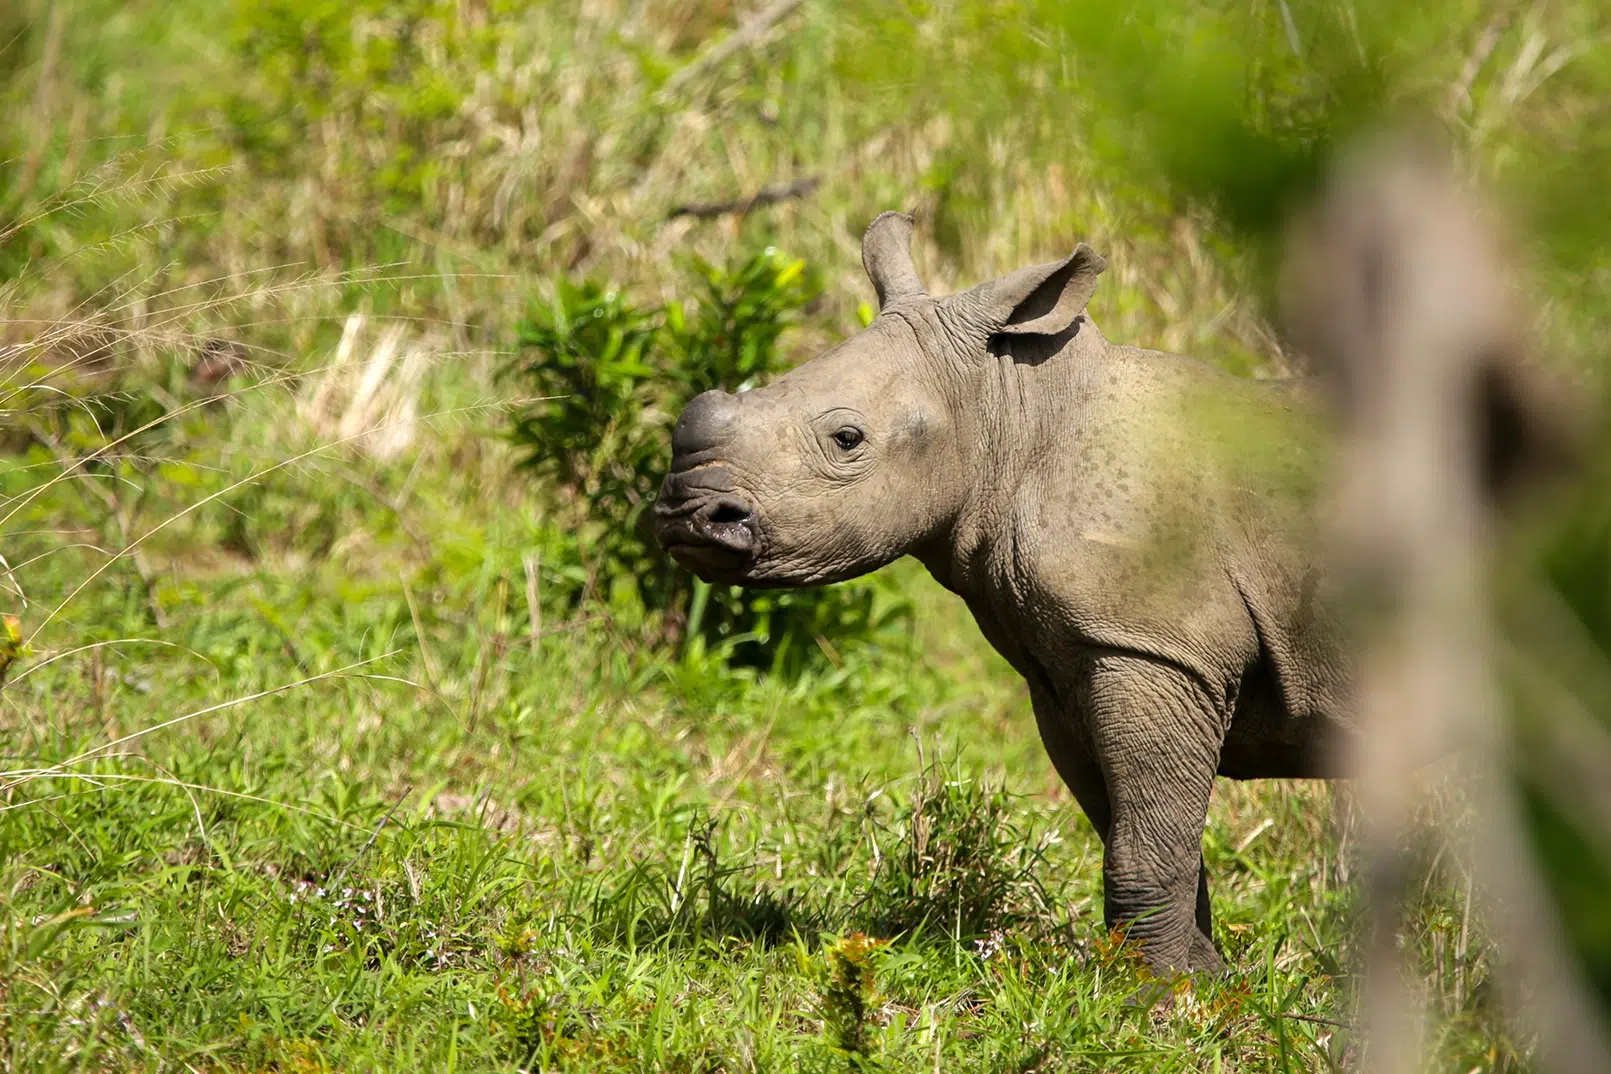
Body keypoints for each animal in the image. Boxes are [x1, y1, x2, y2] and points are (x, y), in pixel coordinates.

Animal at [652, 211, 1349, 974]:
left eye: (846, 438)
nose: (690, 513)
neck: (1009, 410)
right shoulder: (1081, 660)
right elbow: (1144, 833)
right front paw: (1200, 978)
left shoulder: (1155, 647)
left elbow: (1146, 843)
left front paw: (1166, 992)